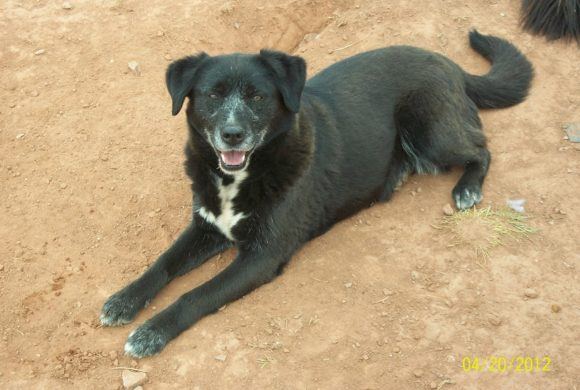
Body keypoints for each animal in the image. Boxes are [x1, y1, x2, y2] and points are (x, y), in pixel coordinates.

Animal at [98, 32, 532, 358]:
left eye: (257, 96)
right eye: (213, 95)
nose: (232, 134)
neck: (241, 176)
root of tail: (446, 62)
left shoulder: (262, 256)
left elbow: (197, 294)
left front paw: (151, 332)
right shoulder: (207, 226)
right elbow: (162, 264)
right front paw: (124, 299)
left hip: (431, 130)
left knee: (481, 149)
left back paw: (467, 188)